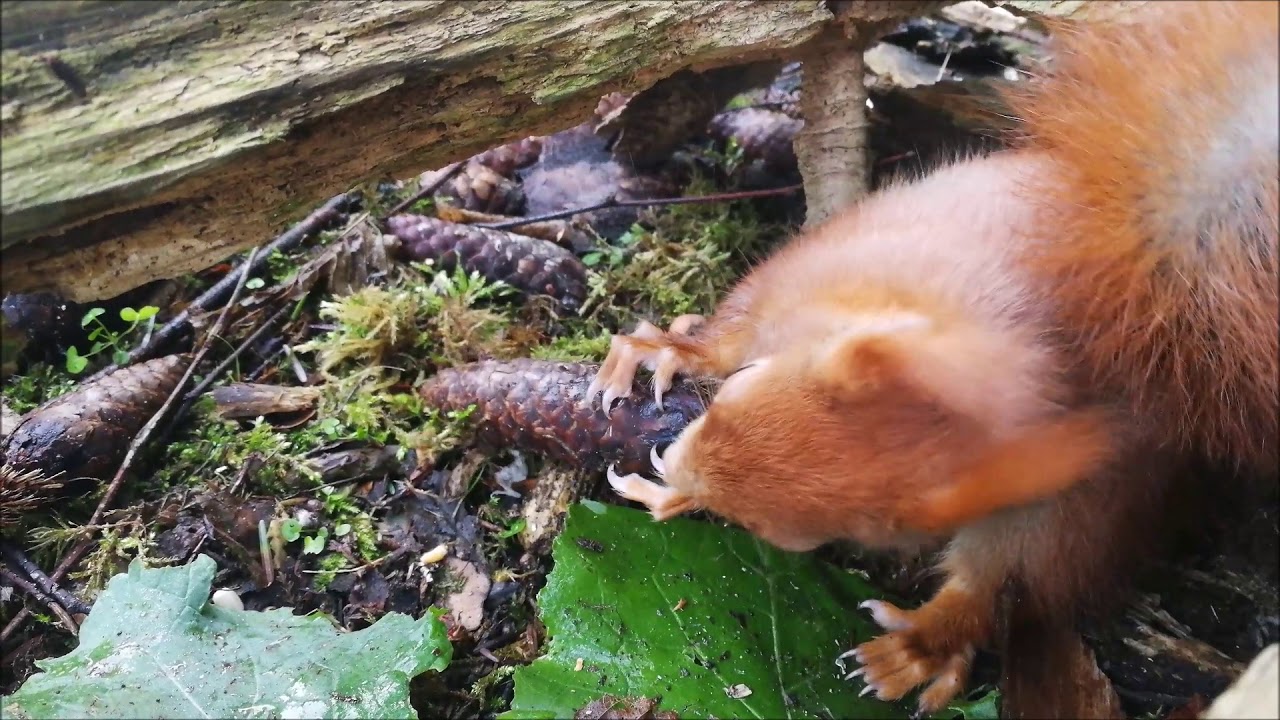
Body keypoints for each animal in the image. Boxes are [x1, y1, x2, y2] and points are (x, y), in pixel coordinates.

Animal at [587, 1, 1278, 716]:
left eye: (788, 537)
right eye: (739, 387)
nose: (674, 459)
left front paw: (668, 492)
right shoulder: (816, 267)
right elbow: (734, 325)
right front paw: (668, 354)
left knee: (1015, 572)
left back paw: (919, 647)